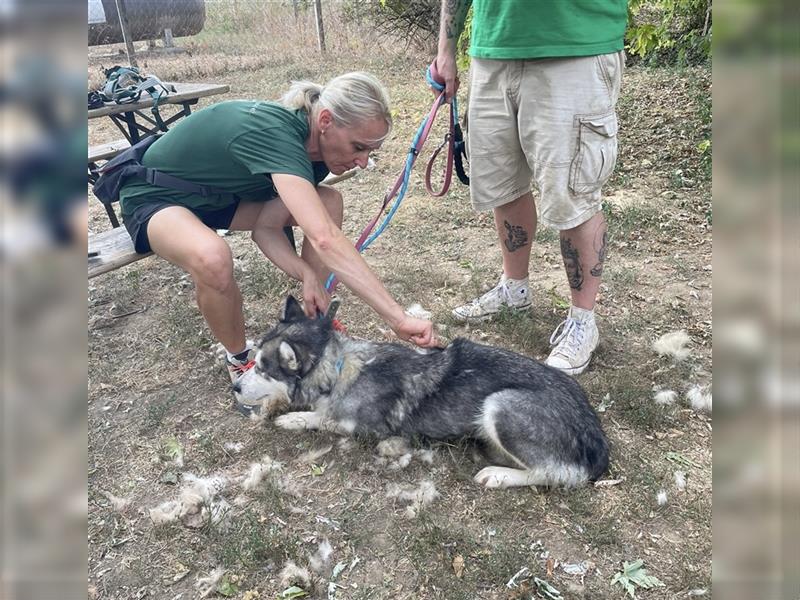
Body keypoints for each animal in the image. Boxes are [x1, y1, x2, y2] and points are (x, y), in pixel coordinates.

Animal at [253, 296, 608, 488]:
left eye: (260, 368)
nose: (240, 386)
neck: (340, 367)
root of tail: (594, 434)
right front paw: (279, 408)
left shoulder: (361, 427)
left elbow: (323, 417)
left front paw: (296, 417)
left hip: (500, 404)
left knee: (560, 473)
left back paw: (498, 475)